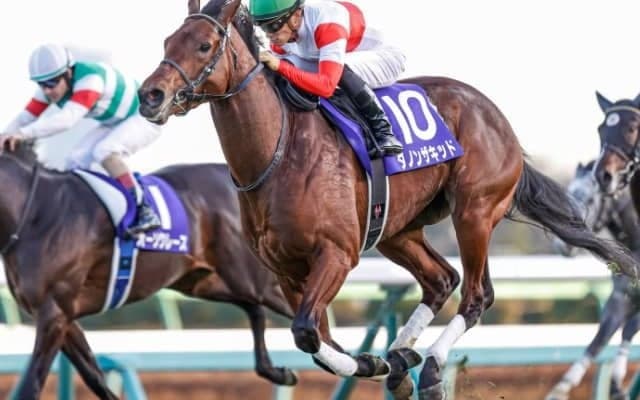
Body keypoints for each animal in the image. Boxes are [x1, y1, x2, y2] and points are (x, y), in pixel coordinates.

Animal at [0, 142, 297, 400]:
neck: (36, 212)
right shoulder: (61, 316)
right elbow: (93, 376)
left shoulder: (54, 310)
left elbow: (33, 384)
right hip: (206, 282)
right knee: (255, 309)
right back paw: (277, 372)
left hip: (253, 280)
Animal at [546, 160, 640, 400]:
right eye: (568, 194)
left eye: (589, 200)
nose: (563, 246)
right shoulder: (620, 298)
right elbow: (599, 340)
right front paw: (561, 388)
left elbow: (628, 329)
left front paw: (616, 383)